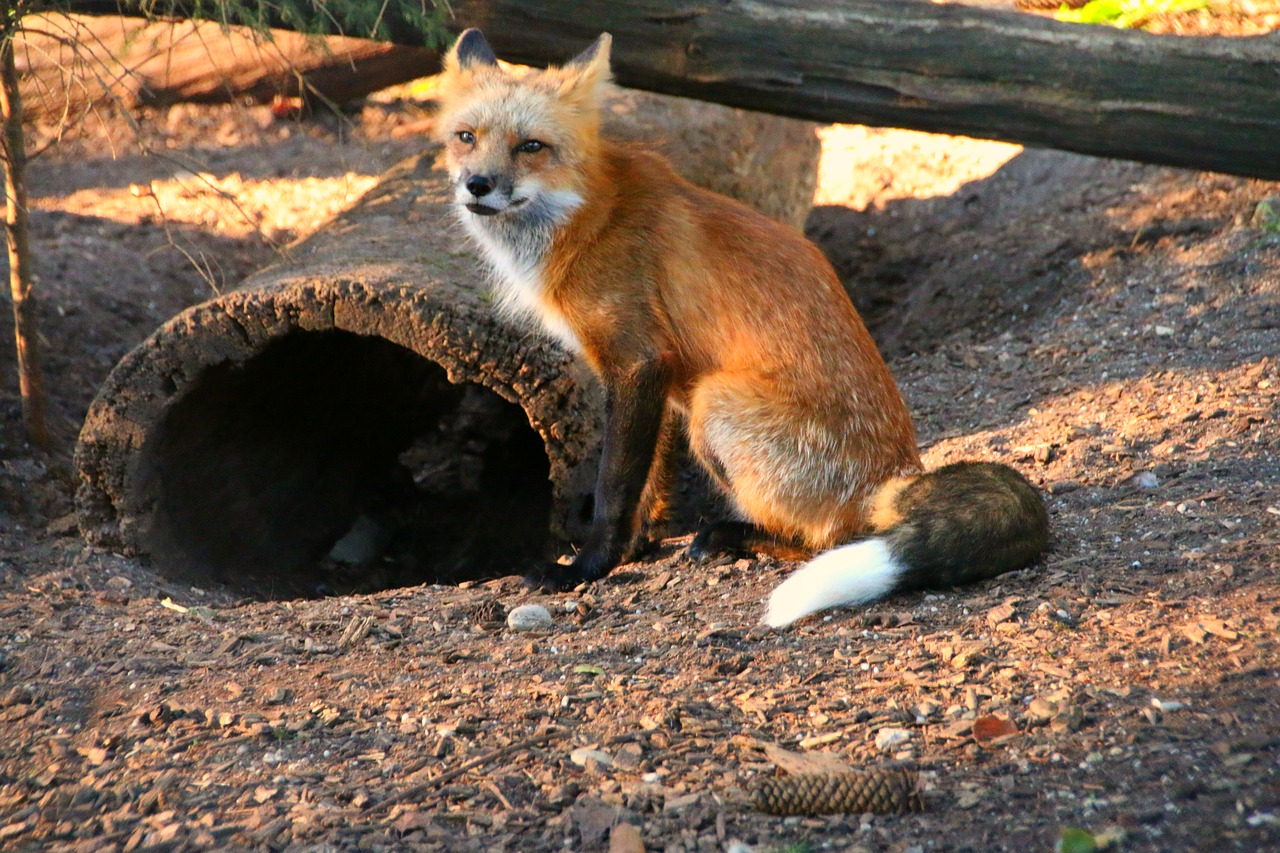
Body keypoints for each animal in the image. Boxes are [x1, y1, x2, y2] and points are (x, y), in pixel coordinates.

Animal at [435, 29, 1044, 625]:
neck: (586, 218)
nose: (477, 184)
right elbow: (649, 482)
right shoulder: (656, 374)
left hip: (715, 404)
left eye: (531, 146)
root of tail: (896, 474)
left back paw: (736, 537)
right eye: (466, 137)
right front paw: (636, 549)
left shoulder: (635, 360)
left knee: (833, 538)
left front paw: (589, 566)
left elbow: (614, 486)